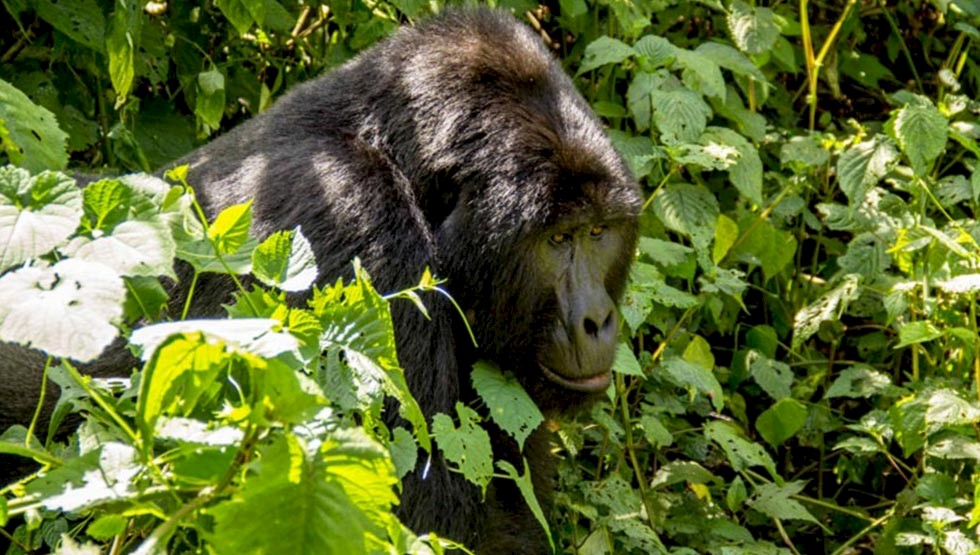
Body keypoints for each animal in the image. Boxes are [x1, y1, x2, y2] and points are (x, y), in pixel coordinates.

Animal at [0, 5, 640, 555]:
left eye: (599, 232)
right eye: (557, 240)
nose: (597, 319)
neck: (393, 153)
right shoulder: (352, 222)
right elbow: (424, 523)